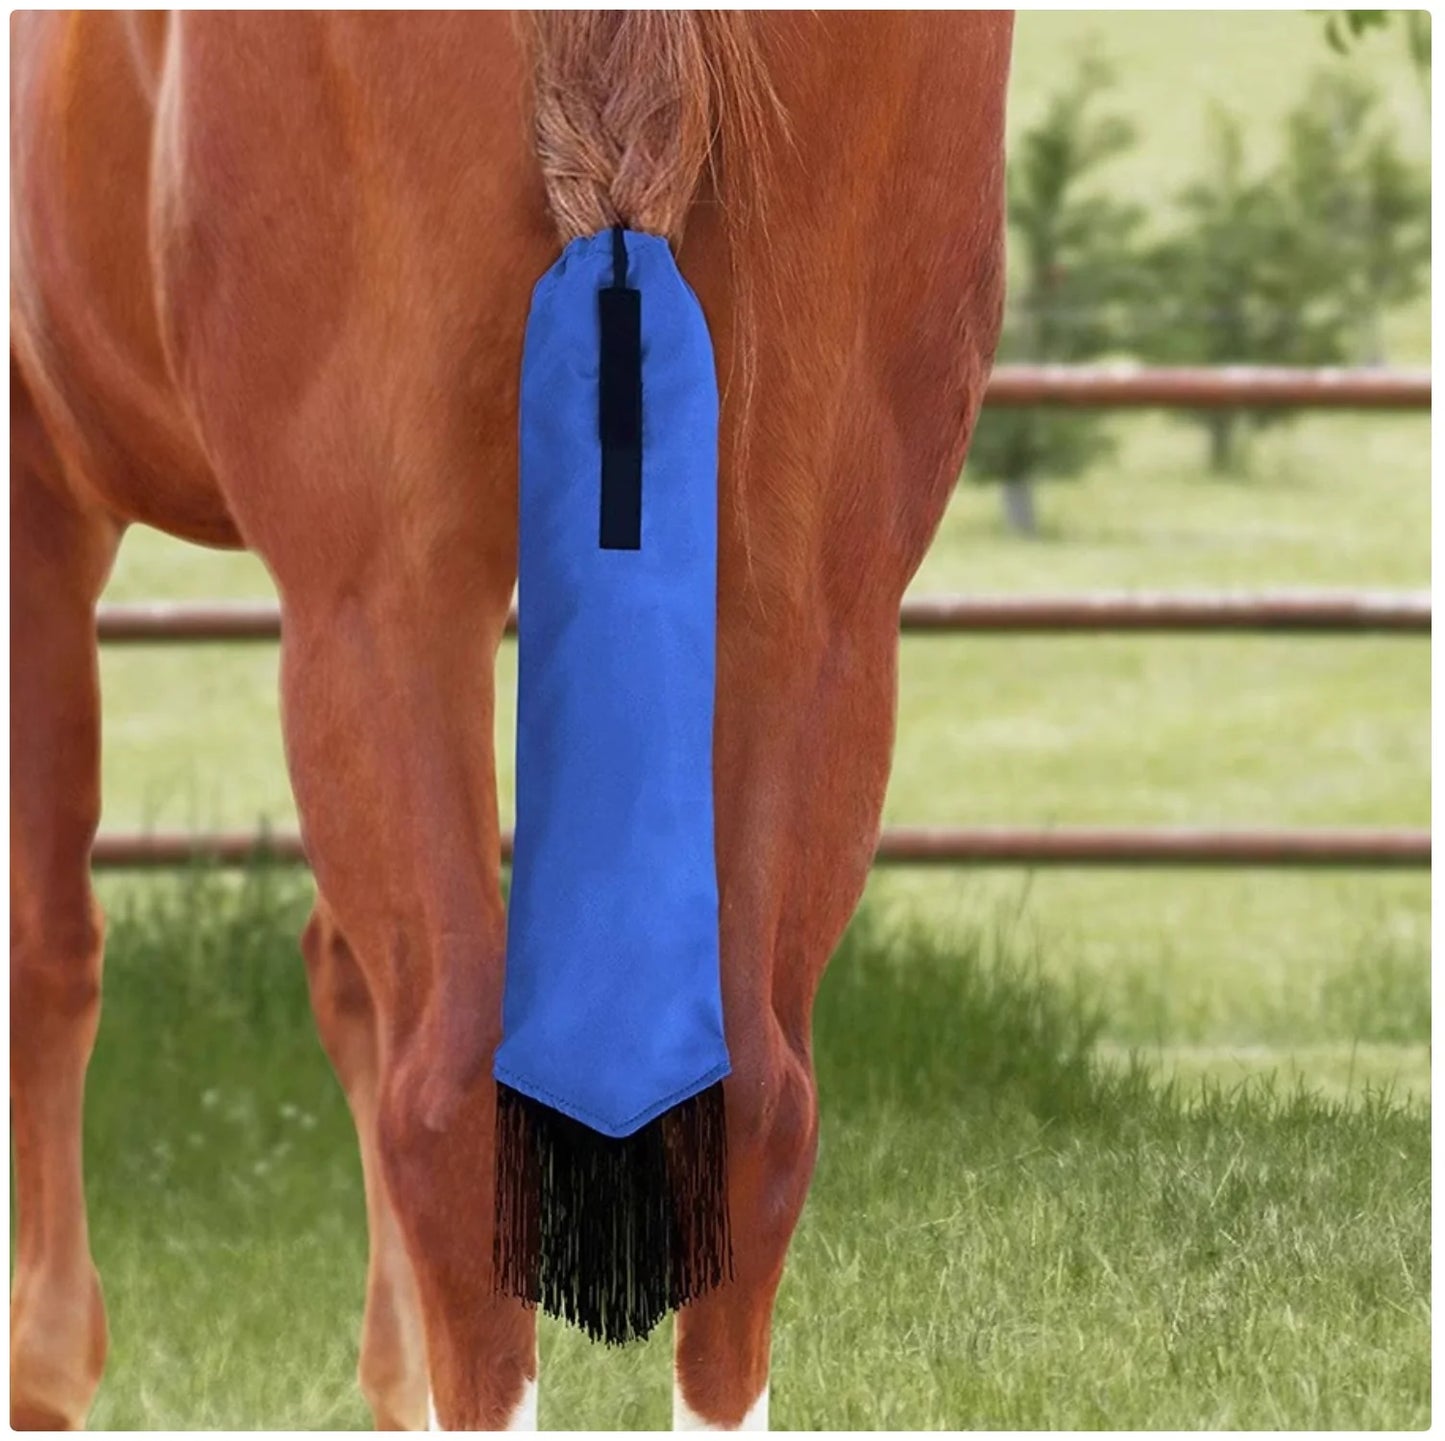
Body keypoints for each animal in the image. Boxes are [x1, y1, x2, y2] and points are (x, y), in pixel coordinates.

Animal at [10, 11, 1011, 1429]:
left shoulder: (41, 488)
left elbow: (49, 952)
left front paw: (45, 1366)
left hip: (383, 598)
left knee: (445, 1106)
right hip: (812, 605)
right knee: (755, 1106)